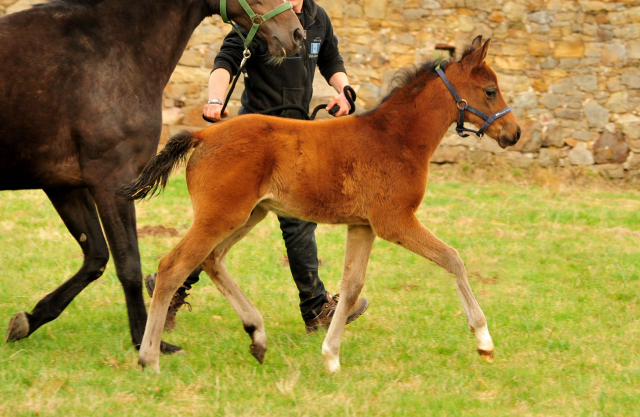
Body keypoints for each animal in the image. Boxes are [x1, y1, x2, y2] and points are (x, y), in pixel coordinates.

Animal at [1, 0, 302, 352]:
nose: (296, 33)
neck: (109, 49)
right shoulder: (110, 181)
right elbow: (128, 265)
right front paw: (146, 341)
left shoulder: (64, 186)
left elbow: (95, 257)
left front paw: (27, 320)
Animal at [124, 35, 520, 372]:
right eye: (490, 91)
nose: (514, 133)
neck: (396, 138)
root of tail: (204, 133)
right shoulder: (394, 221)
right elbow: (452, 258)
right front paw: (484, 340)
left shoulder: (363, 225)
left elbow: (352, 285)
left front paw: (330, 356)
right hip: (221, 216)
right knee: (173, 267)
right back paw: (150, 358)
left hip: (250, 214)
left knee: (211, 260)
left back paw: (257, 335)